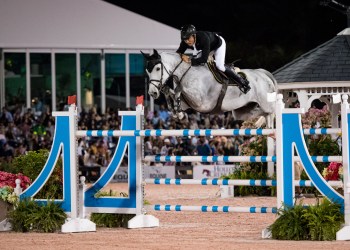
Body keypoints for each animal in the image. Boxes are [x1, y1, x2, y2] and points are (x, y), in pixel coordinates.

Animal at [142, 48, 276, 127]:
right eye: (147, 71)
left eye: (157, 68)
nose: (152, 93)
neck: (187, 73)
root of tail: (262, 73)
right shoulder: (188, 103)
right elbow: (173, 97)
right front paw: (180, 115)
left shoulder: (201, 102)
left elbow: (177, 91)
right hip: (241, 111)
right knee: (262, 113)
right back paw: (257, 123)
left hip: (265, 103)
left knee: (271, 112)